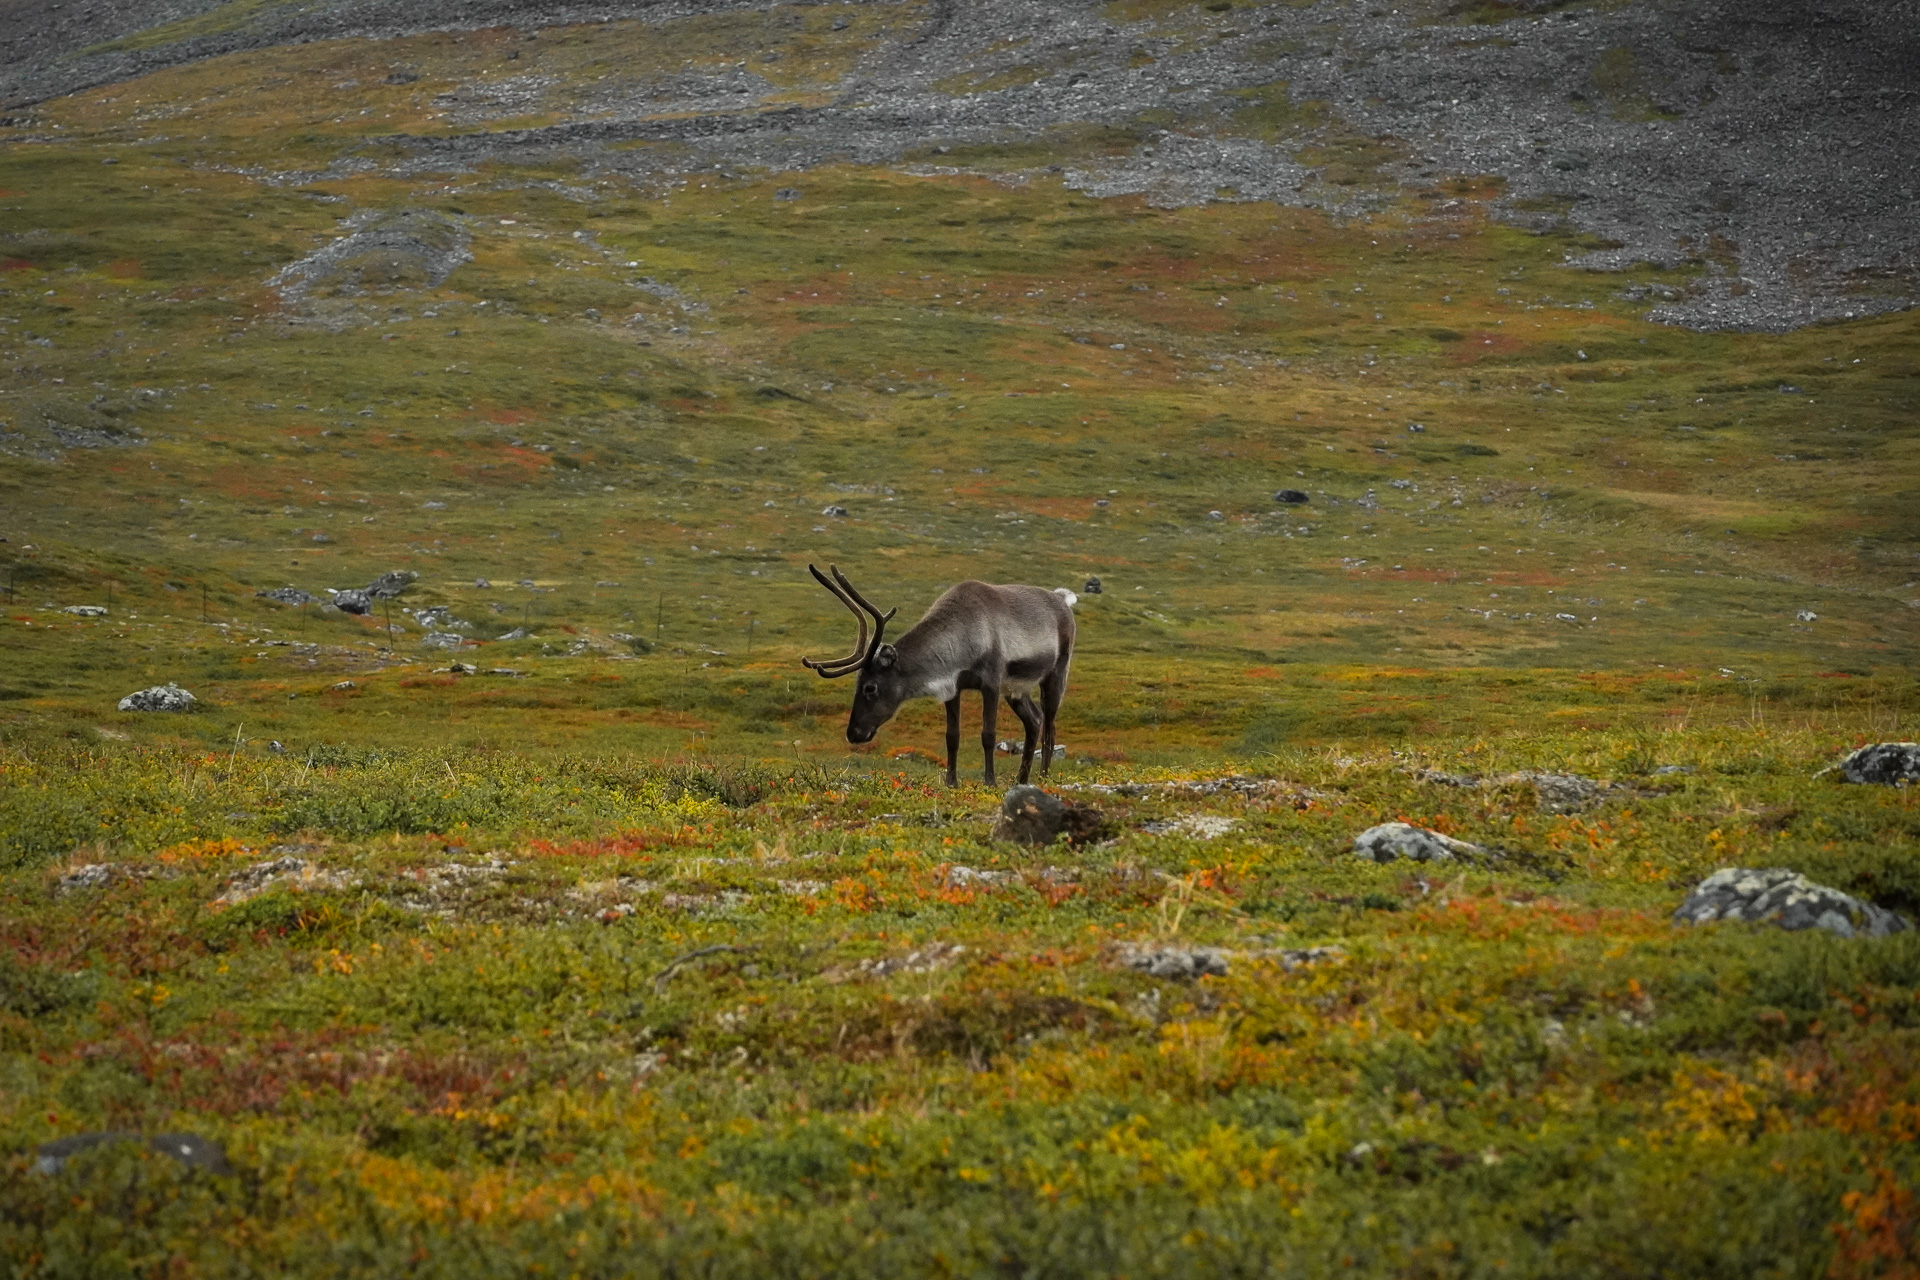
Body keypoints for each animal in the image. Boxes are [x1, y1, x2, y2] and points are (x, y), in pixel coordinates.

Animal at [800, 564, 1075, 788]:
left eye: (870, 687)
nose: (854, 733)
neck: (964, 639)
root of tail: (1063, 599)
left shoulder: (991, 683)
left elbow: (988, 735)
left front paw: (990, 782)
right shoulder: (953, 687)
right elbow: (952, 737)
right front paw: (951, 782)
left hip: (1056, 673)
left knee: (1050, 729)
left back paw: (1043, 778)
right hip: (1016, 689)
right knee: (1034, 720)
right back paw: (1021, 779)